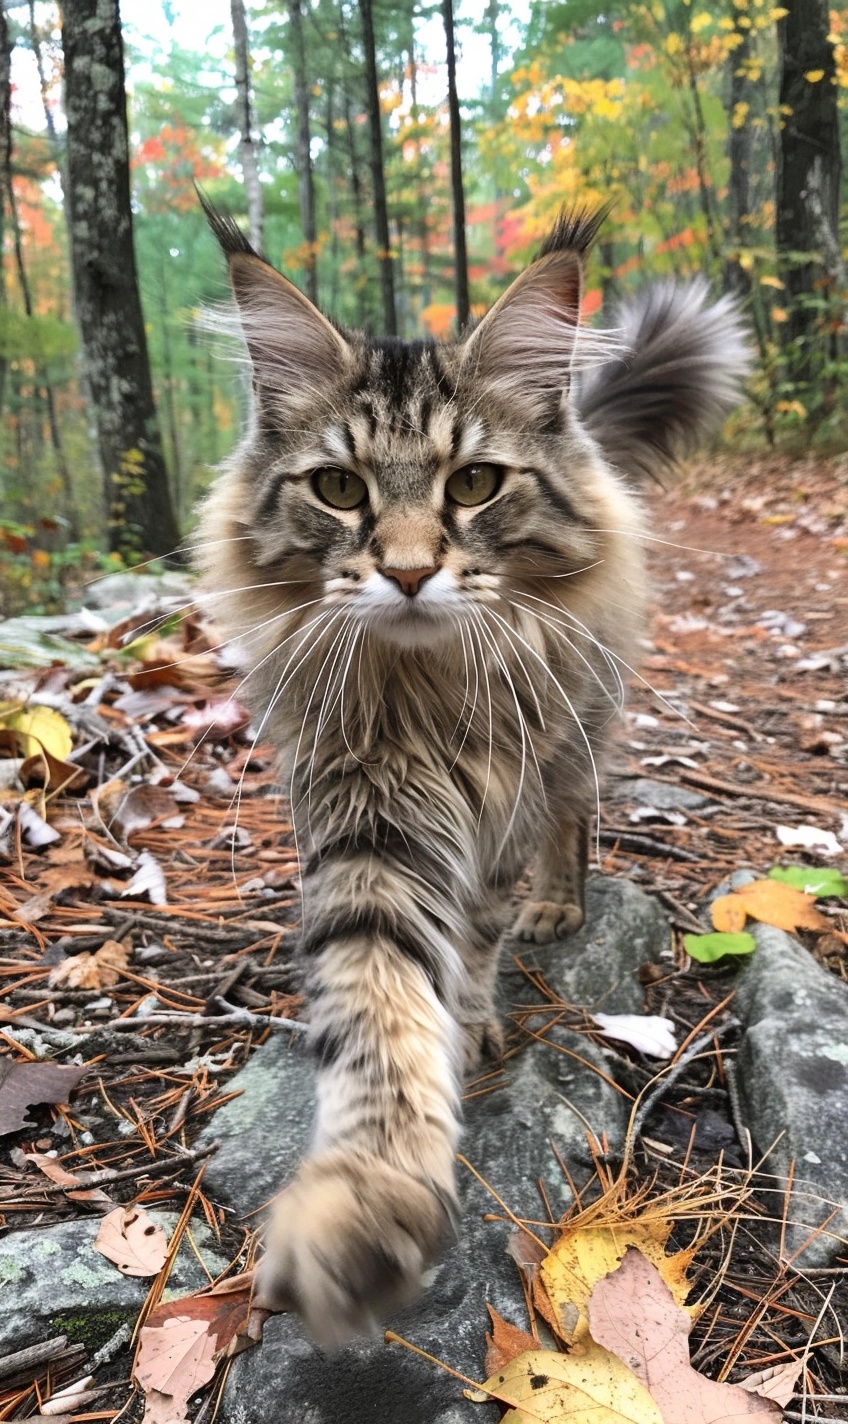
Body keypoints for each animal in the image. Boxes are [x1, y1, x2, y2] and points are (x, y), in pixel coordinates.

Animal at [193, 200, 751, 1344]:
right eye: (339, 489)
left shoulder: (504, 798)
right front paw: (366, 1199)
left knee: (573, 821)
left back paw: (557, 901)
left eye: (474, 483)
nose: (409, 571)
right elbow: (379, 997)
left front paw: (475, 1006)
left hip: (576, 738)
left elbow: (474, 938)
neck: (424, 691)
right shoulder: (363, 812)